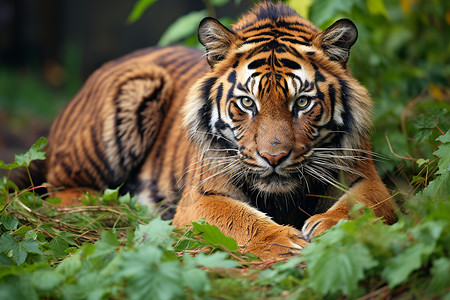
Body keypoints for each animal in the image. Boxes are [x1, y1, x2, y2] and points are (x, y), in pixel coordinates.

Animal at [14, 2, 396, 258]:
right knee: (59, 191)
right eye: (247, 103)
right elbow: (240, 219)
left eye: (301, 102)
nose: (273, 158)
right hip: (134, 89)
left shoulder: (368, 179)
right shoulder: (201, 195)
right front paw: (282, 240)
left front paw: (331, 228)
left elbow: (362, 206)